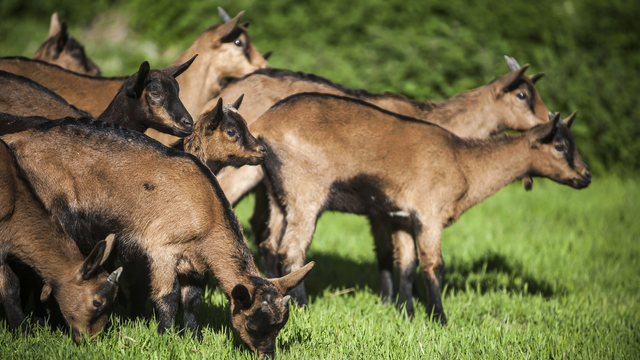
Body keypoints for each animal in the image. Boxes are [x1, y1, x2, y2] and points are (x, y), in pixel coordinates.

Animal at [245, 93, 592, 324]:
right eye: (560, 145)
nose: (586, 176)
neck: (464, 162)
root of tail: (264, 124)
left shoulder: (401, 217)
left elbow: (407, 264)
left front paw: (406, 313)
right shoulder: (429, 214)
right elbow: (433, 265)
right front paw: (440, 318)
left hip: (279, 194)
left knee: (271, 245)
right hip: (305, 191)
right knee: (293, 250)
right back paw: (303, 308)